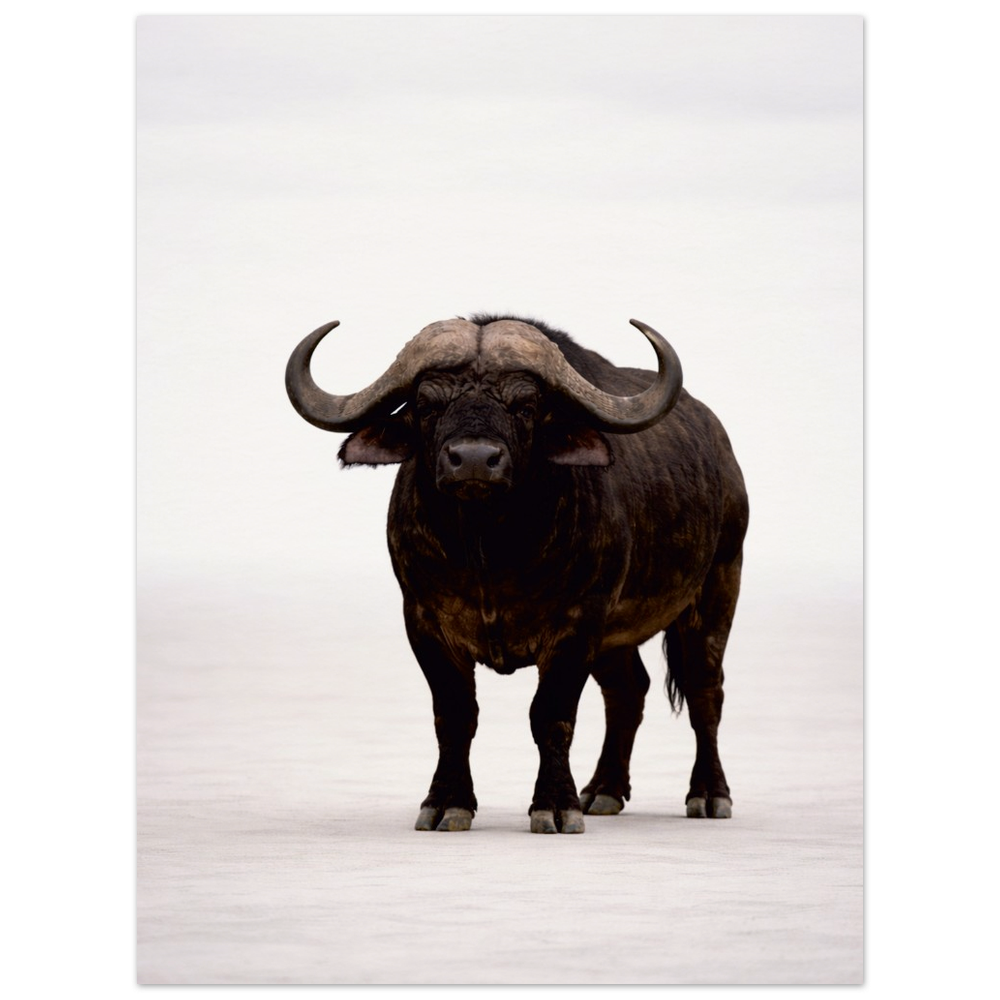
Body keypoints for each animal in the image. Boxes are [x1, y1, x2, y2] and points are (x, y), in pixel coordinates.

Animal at [286, 314, 748, 834]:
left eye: (526, 405)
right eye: (426, 404)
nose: (473, 460)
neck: (488, 554)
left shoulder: (577, 624)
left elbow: (551, 715)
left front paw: (555, 805)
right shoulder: (423, 621)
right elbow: (454, 714)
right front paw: (447, 802)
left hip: (717, 589)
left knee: (704, 691)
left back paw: (708, 794)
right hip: (616, 634)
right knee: (628, 692)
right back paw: (603, 790)